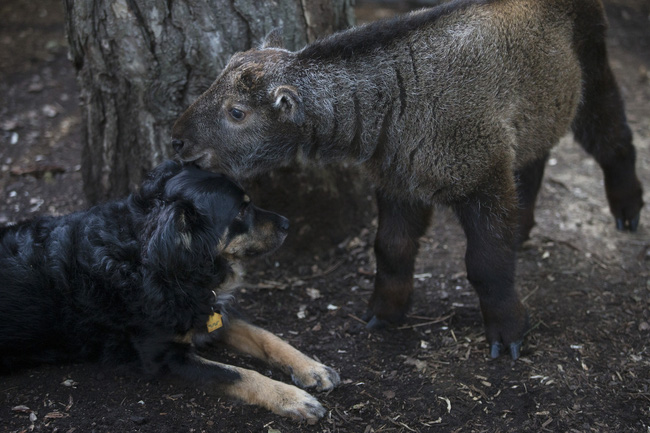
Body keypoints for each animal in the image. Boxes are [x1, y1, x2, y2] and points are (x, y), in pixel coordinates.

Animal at [1, 160, 340, 420]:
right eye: (242, 212)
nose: (287, 223)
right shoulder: (163, 355)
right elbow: (239, 373)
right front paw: (292, 398)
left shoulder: (210, 312)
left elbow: (267, 337)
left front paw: (312, 368)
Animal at [171, 0, 644, 358]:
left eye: (237, 111)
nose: (177, 140)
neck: (398, 102)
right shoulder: (399, 185)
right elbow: (391, 249)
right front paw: (383, 314)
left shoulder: (482, 175)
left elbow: (486, 265)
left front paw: (508, 334)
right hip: (537, 107)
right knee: (534, 158)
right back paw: (524, 226)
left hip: (593, 65)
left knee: (612, 135)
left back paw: (628, 210)